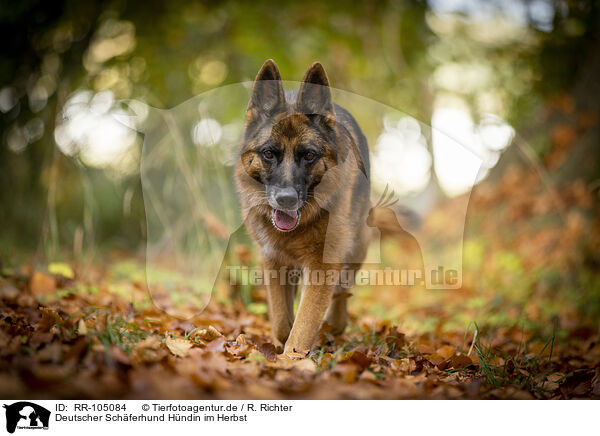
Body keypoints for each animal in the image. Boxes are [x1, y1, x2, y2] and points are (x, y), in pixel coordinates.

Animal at [236, 60, 370, 354]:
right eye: (268, 153)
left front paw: (292, 358)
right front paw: (283, 342)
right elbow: (281, 321)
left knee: (343, 290)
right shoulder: (273, 260)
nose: (286, 199)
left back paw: (336, 324)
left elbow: (305, 321)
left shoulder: (323, 265)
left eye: (309, 155)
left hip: (357, 247)